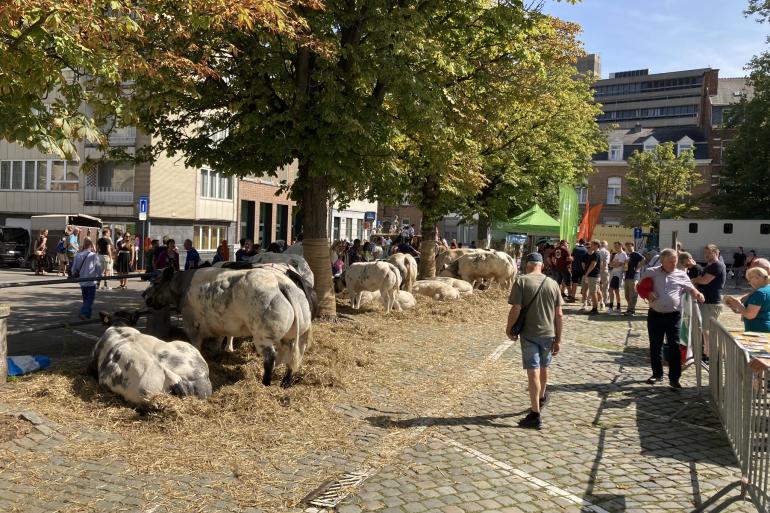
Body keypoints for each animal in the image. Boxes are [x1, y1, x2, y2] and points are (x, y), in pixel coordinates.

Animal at [144, 266, 312, 386]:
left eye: (156, 282)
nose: (145, 297)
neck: (181, 288)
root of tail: (280, 282)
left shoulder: (191, 323)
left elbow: (196, 344)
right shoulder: (218, 325)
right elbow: (217, 342)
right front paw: (216, 357)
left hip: (263, 335)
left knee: (271, 357)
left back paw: (266, 383)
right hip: (294, 335)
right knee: (292, 356)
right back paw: (286, 382)